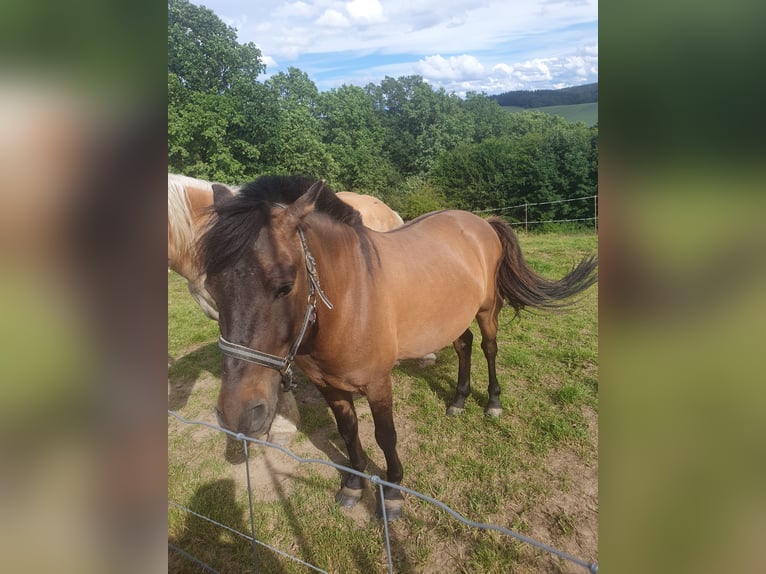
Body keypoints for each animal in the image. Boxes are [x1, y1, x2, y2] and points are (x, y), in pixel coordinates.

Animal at [198, 178, 600, 524]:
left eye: (284, 285)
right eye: (212, 289)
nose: (237, 415)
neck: (349, 298)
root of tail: (480, 222)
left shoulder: (378, 383)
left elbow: (385, 435)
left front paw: (391, 493)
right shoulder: (329, 386)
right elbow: (348, 431)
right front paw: (353, 485)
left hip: (487, 310)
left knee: (489, 348)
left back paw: (493, 403)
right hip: (450, 316)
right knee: (464, 346)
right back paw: (458, 400)